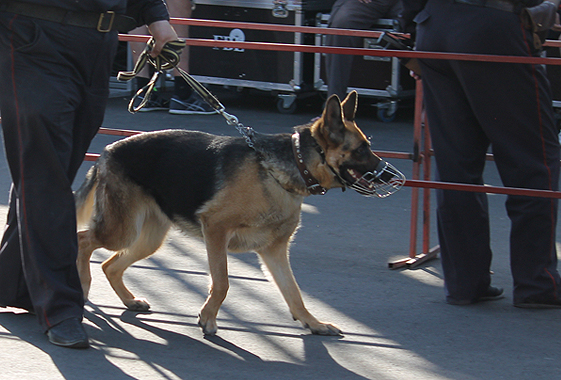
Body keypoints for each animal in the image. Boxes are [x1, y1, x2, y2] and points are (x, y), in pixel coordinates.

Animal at [75, 91, 402, 336]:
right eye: (361, 150)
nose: (394, 178)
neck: (283, 169)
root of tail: (108, 149)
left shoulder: (274, 251)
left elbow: (294, 293)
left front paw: (313, 324)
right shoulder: (215, 231)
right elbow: (222, 283)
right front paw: (208, 318)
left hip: (147, 239)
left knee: (111, 265)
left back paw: (129, 300)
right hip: (122, 231)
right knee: (82, 239)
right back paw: (82, 286)